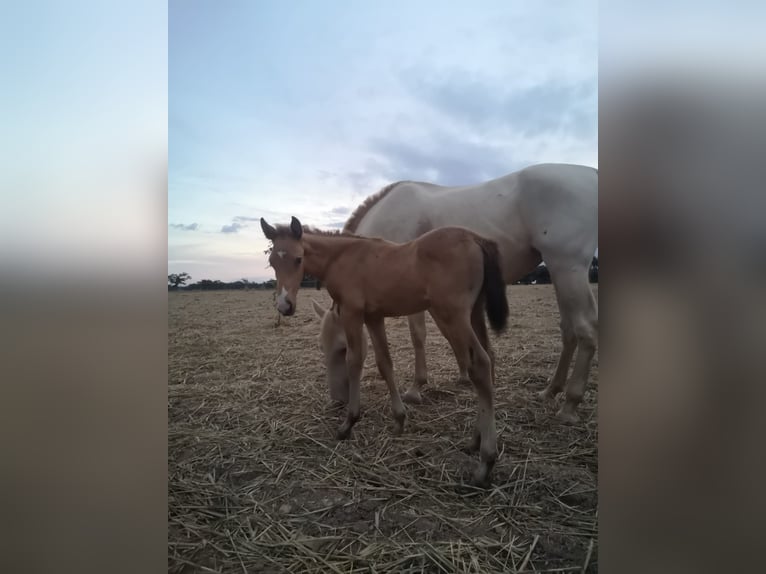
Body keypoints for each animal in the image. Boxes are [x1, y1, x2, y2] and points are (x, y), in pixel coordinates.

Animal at [260, 216, 509, 487]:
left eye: (298, 258)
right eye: (272, 261)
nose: (284, 306)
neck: (343, 257)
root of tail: (476, 238)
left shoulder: (353, 313)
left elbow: (355, 362)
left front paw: (348, 423)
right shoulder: (374, 316)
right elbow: (384, 363)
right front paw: (399, 420)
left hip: (453, 314)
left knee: (480, 363)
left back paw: (485, 462)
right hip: (474, 312)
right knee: (490, 357)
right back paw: (475, 439)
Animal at [316, 163, 598, 423]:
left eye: (341, 349)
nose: (338, 400)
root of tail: (591, 174)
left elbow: (419, 335)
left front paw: (416, 388)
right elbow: (450, 334)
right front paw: (464, 374)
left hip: (567, 267)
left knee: (585, 330)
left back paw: (570, 405)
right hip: (560, 272)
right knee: (569, 331)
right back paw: (551, 391)